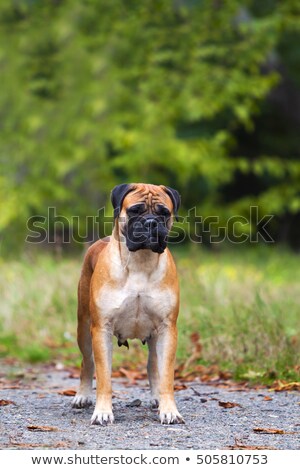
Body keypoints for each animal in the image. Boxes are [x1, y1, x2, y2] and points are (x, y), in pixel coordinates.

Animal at [73, 184, 185, 426]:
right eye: (135, 211)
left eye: (164, 213)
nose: (151, 222)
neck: (140, 261)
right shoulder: (101, 329)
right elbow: (104, 376)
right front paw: (102, 412)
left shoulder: (167, 329)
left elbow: (166, 375)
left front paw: (169, 410)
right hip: (83, 329)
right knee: (87, 362)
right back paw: (82, 396)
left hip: (156, 337)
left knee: (153, 365)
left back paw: (156, 397)